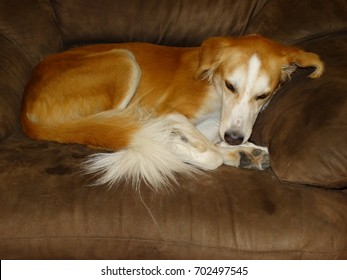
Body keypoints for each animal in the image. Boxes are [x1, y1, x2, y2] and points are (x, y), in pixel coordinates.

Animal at [21, 34, 326, 189]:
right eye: (231, 85)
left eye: (263, 95)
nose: (235, 138)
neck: (213, 84)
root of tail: (26, 109)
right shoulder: (168, 113)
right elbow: (209, 153)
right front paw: (175, 146)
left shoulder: (217, 124)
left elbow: (212, 141)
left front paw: (237, 149)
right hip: (124, 60)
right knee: (109, 135)